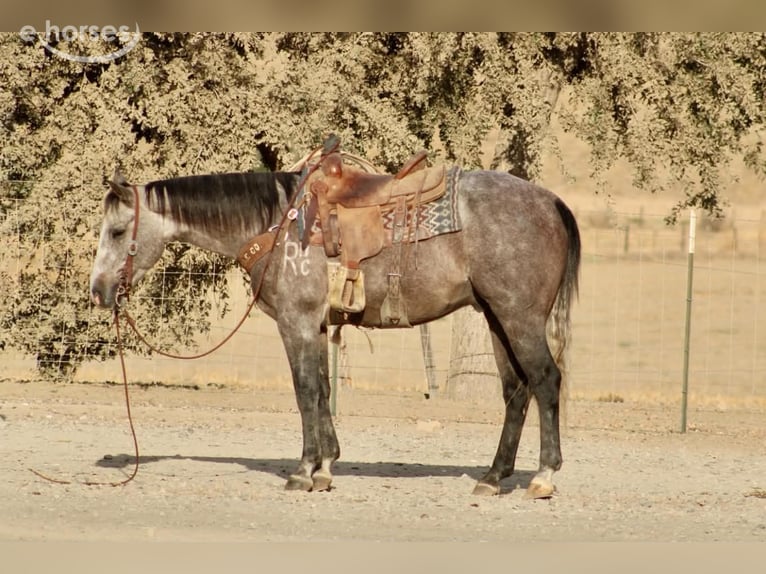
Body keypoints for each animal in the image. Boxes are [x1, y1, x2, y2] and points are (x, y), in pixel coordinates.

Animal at [89, 151, 581, 498]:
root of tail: (551, 202)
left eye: (117, 232)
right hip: (497, 318)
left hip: (519, 317)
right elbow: (323, 388)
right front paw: (326, 467)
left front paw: (303, 471)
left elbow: (305, 390)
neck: (277, 224)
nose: (97, 291)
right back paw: (493, 477)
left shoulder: (297, 323)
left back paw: (543, 476)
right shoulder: (319, 326)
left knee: (545, 380)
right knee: (515, 391)